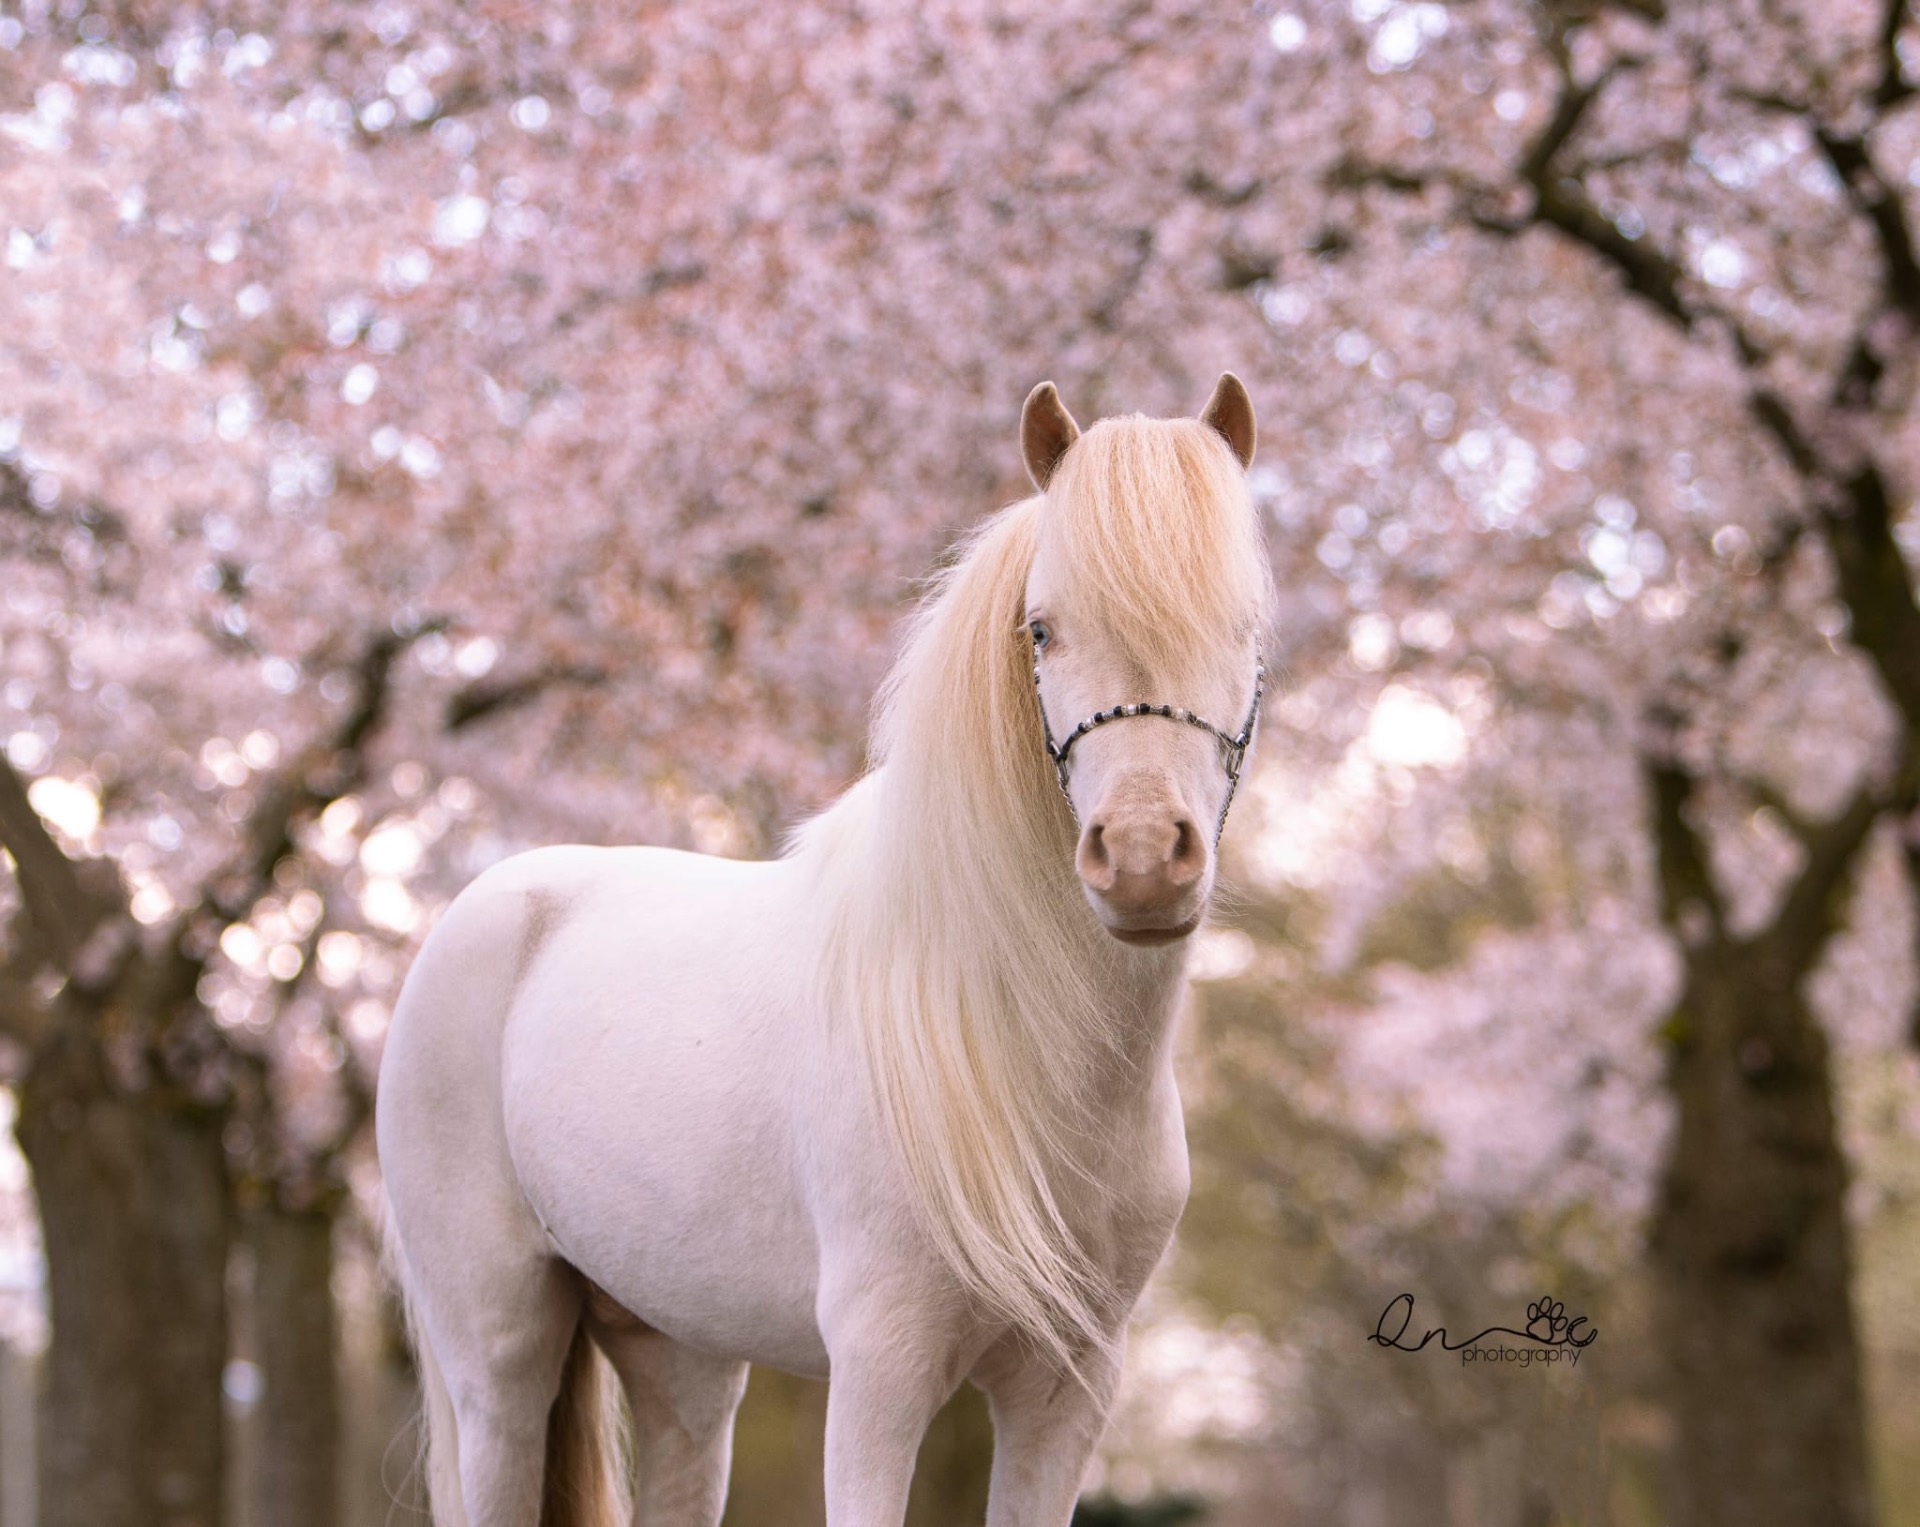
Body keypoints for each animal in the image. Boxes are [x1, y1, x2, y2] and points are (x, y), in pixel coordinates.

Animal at [374, 372, 1274, 1527]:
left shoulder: (1066, 1392)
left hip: (680, 1360)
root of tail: (481, 911)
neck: (1017, 1053)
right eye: (1042, 630)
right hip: (498, 1361)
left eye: (1246, 626)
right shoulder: (880, 1376)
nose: (1146, 858)